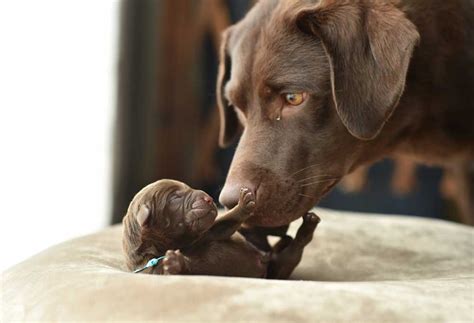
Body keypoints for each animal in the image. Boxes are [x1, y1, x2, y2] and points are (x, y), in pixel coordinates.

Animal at [124, 178, 320, 280]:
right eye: (175, 198)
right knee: (292, 253)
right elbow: (182, 269)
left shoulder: (208, 233)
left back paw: (303, 227)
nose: (208, 198)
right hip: (278, 269)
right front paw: (174, 262)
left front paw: (243, 205)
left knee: (293, 247)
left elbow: (226, 223)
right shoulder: (151, 269)